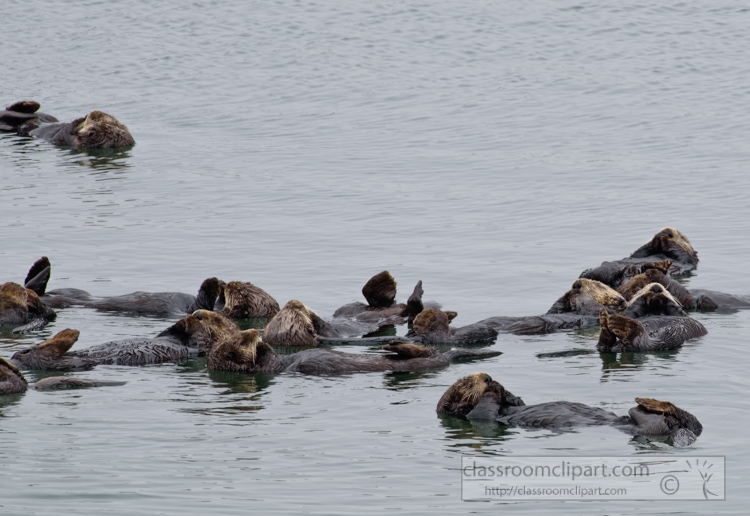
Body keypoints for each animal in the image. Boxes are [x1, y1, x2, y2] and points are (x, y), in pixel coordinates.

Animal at [0, 101, 134, 148]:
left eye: (96, 120)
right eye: (111, 119)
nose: (94, 112)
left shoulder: (67, 139)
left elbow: (67, 131)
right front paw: (82, 118)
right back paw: (30, 105)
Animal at [440, 372, 704, 446]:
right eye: (466, 383)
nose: (486, 376)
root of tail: (675, 428)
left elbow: (517, 403)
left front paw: (507, 391)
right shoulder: (478, 417)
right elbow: (485, 410)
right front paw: (493, 388)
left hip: (679, 423)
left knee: (694, 422)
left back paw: (650, 401)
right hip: (649, 427)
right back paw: (644, 404)